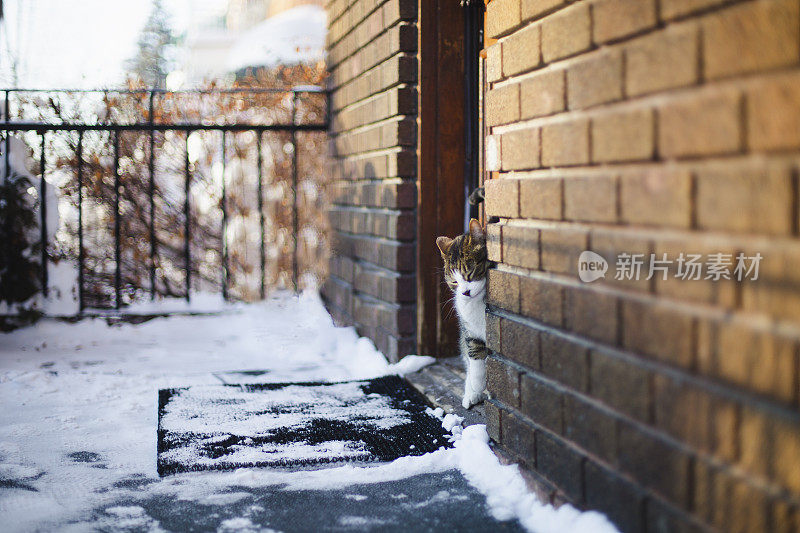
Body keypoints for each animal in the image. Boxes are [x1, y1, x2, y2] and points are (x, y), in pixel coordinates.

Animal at [438, 216, 488, 408]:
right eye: (454, 281)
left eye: (470, 272)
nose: (465, 292)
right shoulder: (469, 329)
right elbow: (474, 353)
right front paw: (477, 385)